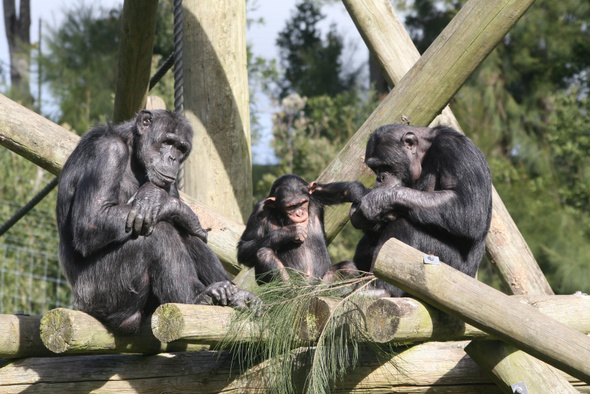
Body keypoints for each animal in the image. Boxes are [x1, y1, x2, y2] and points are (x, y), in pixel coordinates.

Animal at [57, 109, 260, 334]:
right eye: (167, 141)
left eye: (181, 148)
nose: (173, 158)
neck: (133, 151)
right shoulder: (108, 152)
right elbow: (92, 220)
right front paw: (166, 202)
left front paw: (158, 198)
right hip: (101, 294)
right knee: (158, 231)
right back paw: (196, 297)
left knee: (182, 232)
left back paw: (235, 295)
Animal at [238, 175, 368, 284]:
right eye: (290, 207)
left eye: (303, 202)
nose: (299, 213)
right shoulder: (259, 211)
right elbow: (244, 247)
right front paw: (291, 231)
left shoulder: (316, 192)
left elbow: (348, 190)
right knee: (264, 254)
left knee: (348, 267)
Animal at [352, 123, 494, 296]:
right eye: (375, 168)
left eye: (385, 166)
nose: (380, 177)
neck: (425, 153)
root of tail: (472, 276)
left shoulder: (455, 149)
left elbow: (469, 207)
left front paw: (376, 200)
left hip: (451, 268)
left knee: (403, 227)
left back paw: (382, 288)